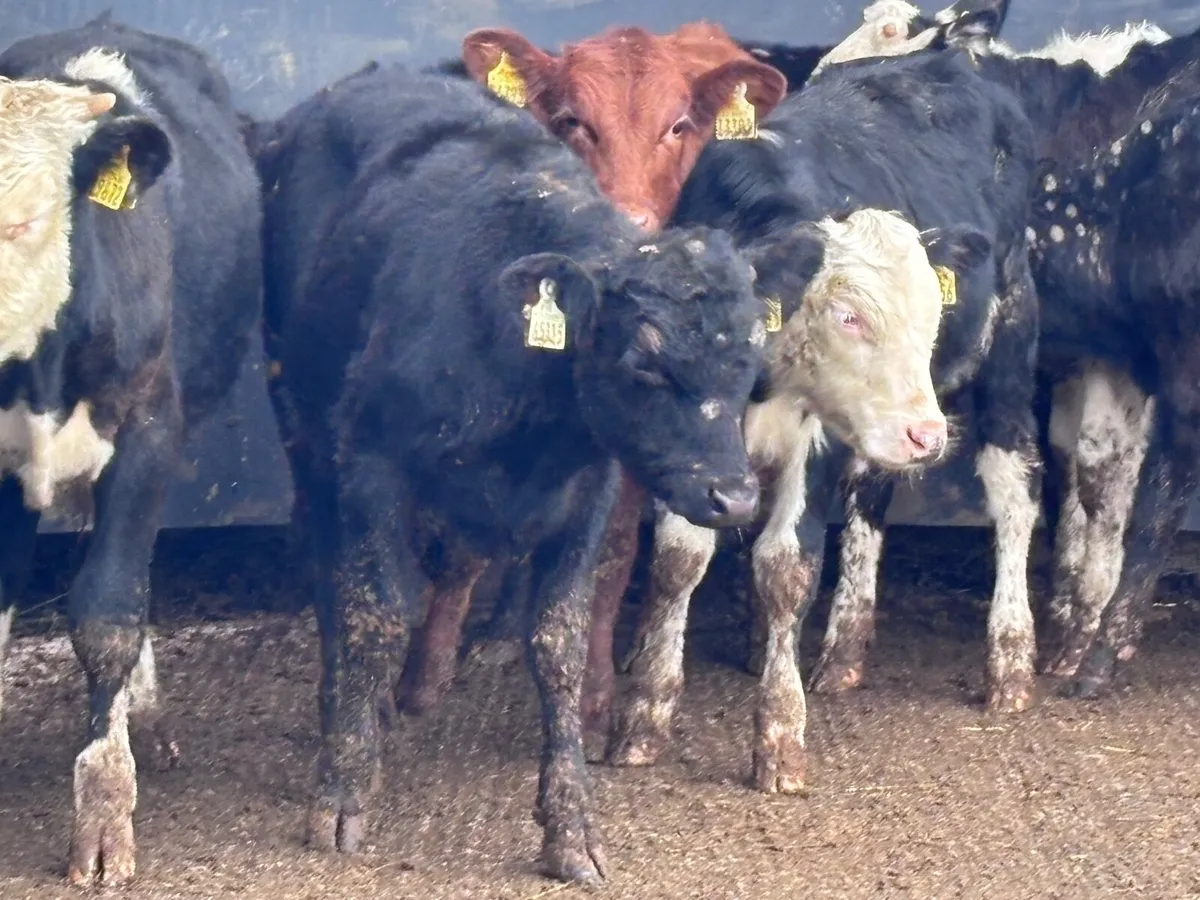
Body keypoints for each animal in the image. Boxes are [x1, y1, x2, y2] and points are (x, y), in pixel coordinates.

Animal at [254, 61, 811, 884]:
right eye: (642, 363)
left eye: (749, 359)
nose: (735, 496)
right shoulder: (370, 465)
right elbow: (375, 612)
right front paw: (344, 790)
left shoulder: (585, 496)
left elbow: (558, 645)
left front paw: (570, 826)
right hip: (302, 429)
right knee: (328, 572)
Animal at [606, 47, 1035, 794]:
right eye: (848, 315)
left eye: (934, 313)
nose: (929, 435)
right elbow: (678, 562)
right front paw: (646, 717)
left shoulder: (817, 436)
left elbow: (786, 568)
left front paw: (780, 735)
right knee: (870, 502)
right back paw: (844, 651)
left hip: (1004, 356)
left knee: (1013, 503)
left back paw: (1009, 659)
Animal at [812, 19, 1200, 703]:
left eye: (890, 34)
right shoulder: (1101, 354)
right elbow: (1091, 469)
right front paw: (1072, 611)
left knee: (1172, 474)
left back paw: (1105, 651)